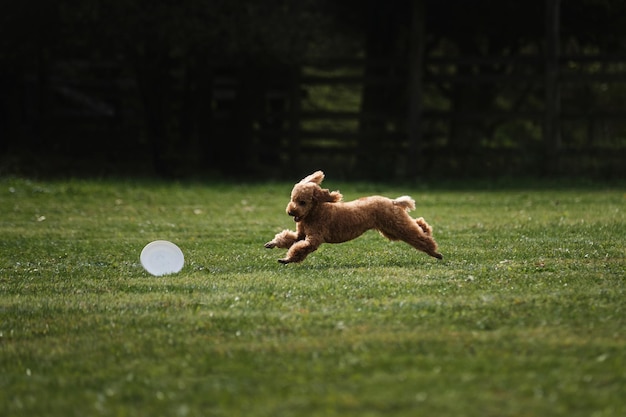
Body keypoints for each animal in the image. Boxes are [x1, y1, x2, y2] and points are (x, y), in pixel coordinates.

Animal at [260, 170, 442, 264]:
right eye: (292, 199)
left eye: (302, 202)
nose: (291, 212)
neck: (315, 212)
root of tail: (392, 201)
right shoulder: (301, 234)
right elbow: (288, 238)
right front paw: (272, 243)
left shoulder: (314, 237)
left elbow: (301, 248)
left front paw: (286, 259)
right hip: (391, 229)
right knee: (418, 224)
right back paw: (426, 229)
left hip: (396, 226)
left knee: (417, 236)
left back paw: (434, 252)